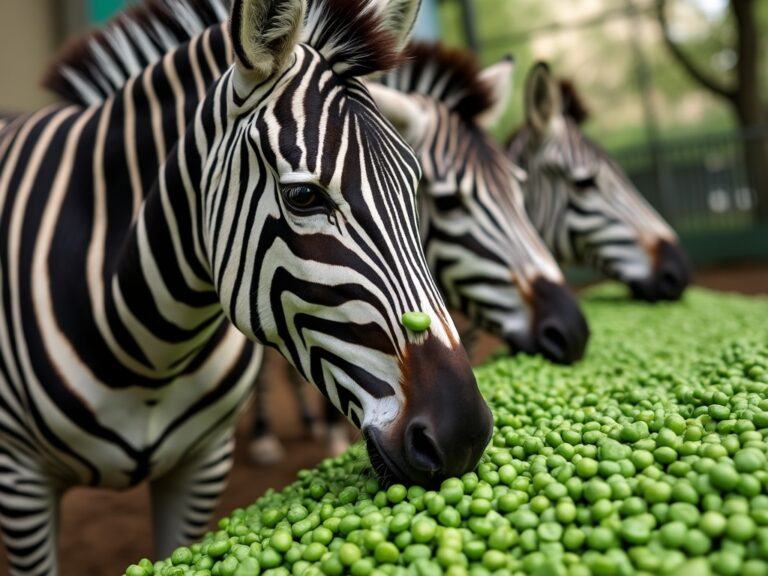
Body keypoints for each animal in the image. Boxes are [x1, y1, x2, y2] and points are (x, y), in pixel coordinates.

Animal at [0, 0, 492, 572]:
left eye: (416, 188)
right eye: (303, 196)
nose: (463, 434)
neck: (147, 348)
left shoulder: (202, 463)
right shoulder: (21, 481)